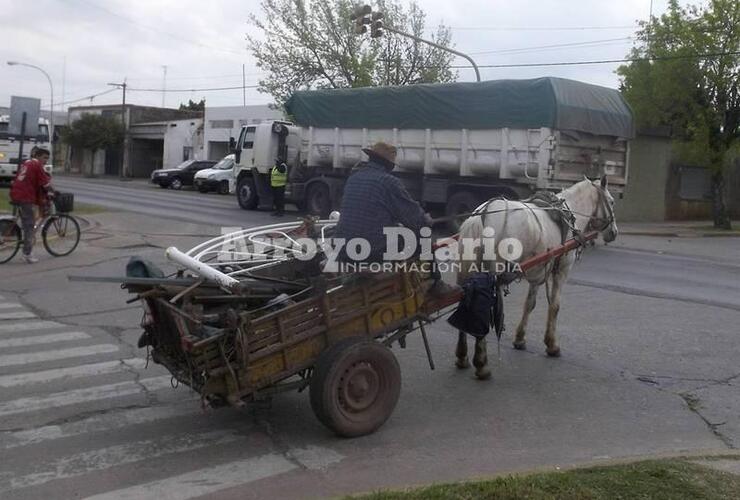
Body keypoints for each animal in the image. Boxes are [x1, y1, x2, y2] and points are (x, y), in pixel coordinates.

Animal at [456, 177, 620, 378]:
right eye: (611, 201)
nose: (614, 232)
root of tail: (480, 216)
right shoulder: (561, 270)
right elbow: (555, 306)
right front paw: (552, 345)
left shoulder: (538, 269)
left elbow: (530, 303)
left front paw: (520, 338)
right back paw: (481, 364)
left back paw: (462, 356)